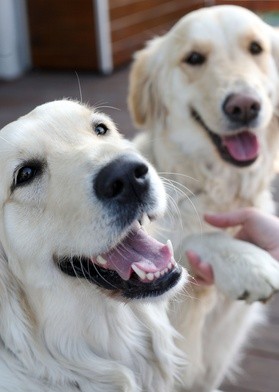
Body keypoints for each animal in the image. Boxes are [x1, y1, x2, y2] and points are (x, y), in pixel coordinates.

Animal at [129, 3, 279, 392]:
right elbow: (183, 239)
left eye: (255, 49)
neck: (219, 188)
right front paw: (248, 262)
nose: (244, 106)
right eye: (194, 58)